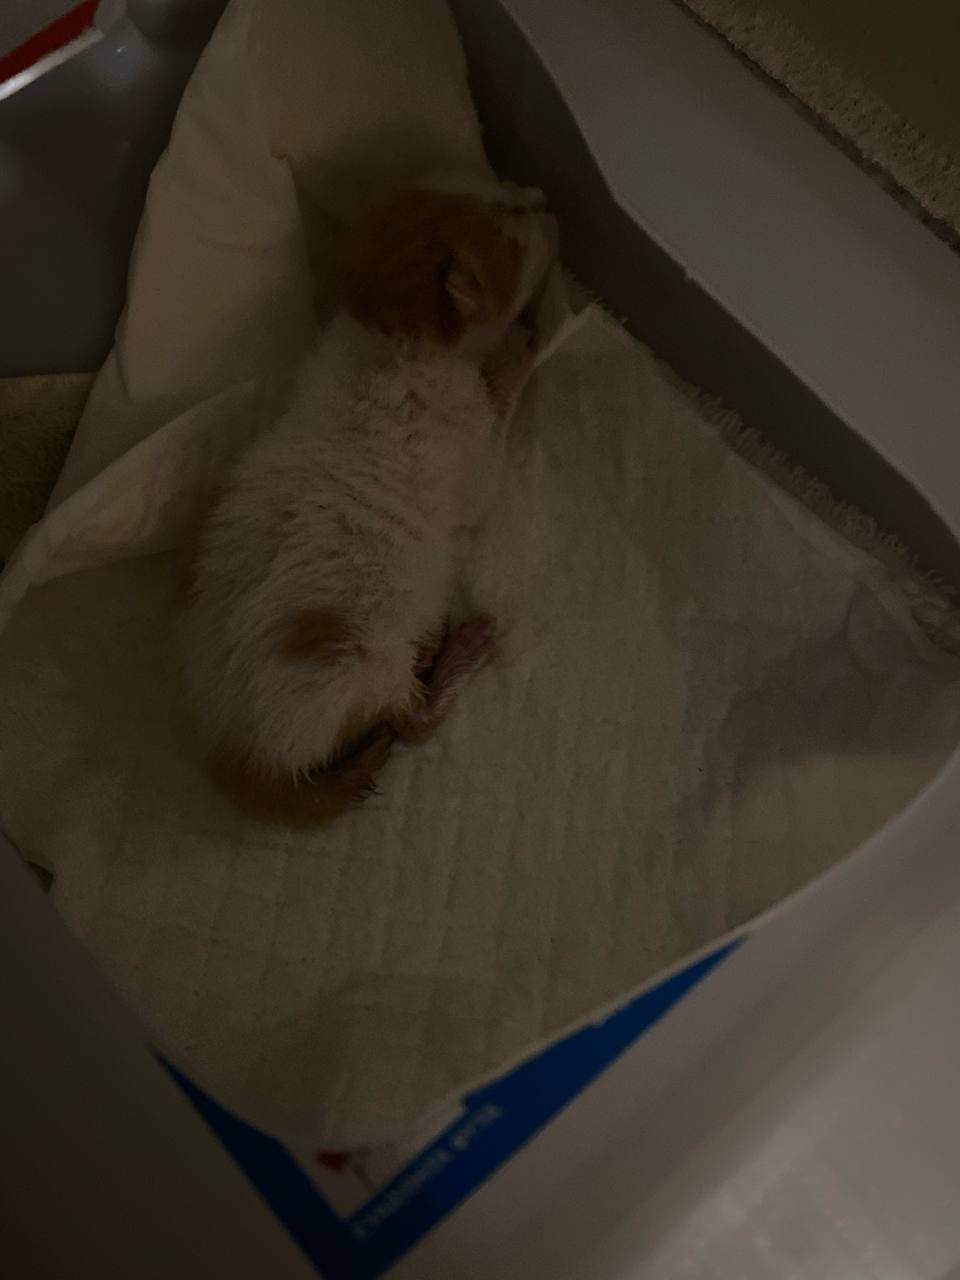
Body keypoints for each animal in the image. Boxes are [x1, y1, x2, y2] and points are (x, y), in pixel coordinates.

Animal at [180, 179, 556, 824]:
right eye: (510, 228)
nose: (551, 206)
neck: (389, 336)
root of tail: (244, 760)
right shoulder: (470, 451)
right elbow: (491, 442)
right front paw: (517, 351)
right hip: (367, 663)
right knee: (412, 724)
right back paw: (462, 652)